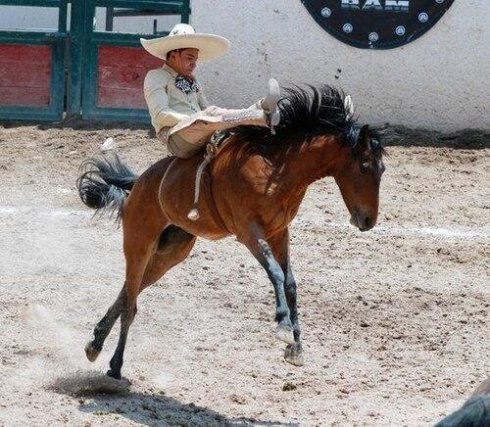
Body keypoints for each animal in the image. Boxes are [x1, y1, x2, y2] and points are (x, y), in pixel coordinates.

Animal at [77, 85, 386, 380]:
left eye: (382, 168)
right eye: (364, 166)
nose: (368, 220)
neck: (275, 168)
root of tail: (138, 183)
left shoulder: (279, 232)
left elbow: (290, 282)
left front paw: (296, 348)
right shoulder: (248, 230)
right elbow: (275, 272)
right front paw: (283, 325)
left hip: (170, 254)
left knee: (130, 291)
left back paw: (95, 344)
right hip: (138, 242)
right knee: (131, 304)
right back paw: (115, 365)